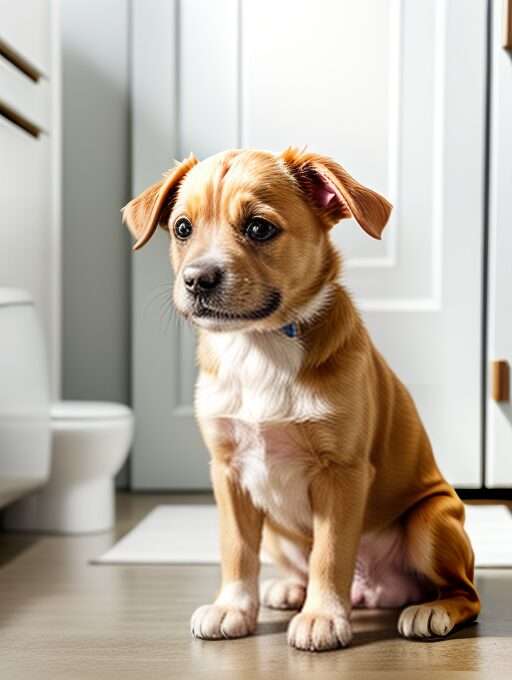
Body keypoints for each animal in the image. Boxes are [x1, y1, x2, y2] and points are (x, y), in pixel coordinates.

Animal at [124, 150, 480, 652]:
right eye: (182, 228)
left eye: (258, 228)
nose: (196, 280)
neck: (259, 346)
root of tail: (374, 590)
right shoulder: (227, 471)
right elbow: (237, 550)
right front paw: (233, 607)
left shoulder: (342, 472)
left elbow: (330, 553)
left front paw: (322, 617)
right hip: (278, 532)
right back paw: (291, 589)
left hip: (433, 521)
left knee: (466, 592)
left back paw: (433, 610)